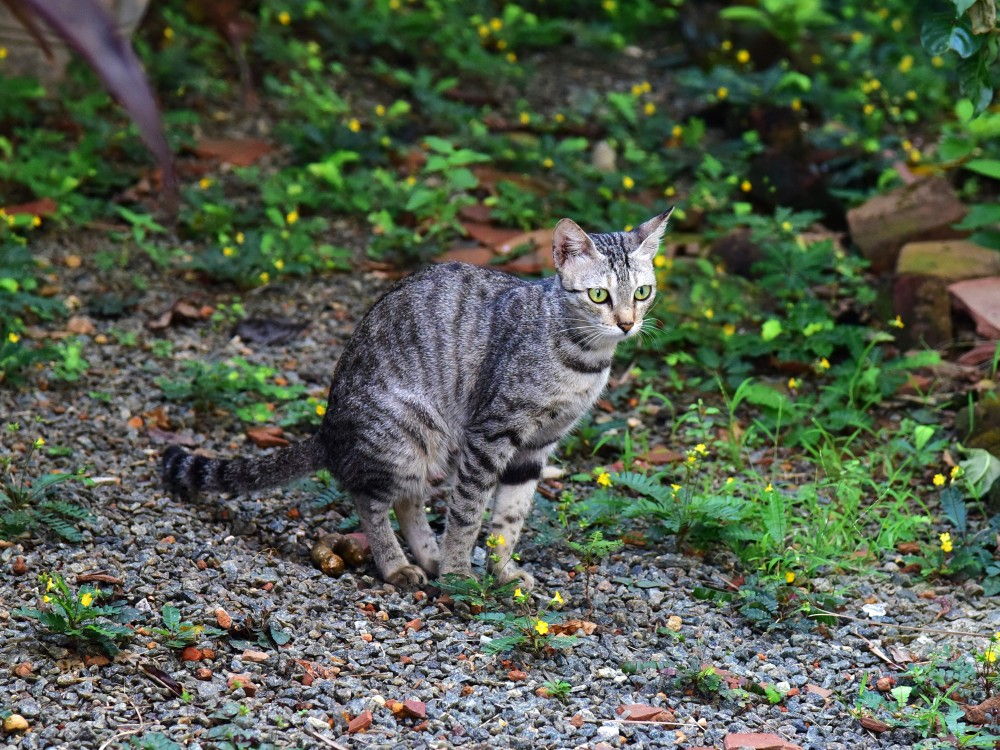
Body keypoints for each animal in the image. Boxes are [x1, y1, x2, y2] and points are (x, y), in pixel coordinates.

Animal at [162, 209, 672, 592]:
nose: (627, 323)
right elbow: (468, 513)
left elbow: (510, 517)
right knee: (370, 499)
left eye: (642, 292)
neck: (582, 359)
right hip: (403, 433)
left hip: (431, 445)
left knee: (408, 500)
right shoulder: (491, 434)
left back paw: (427, 556)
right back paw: (399, 565)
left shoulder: (536, 446)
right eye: (599, 295)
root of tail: (329, 429)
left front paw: (502, 571)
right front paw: (460, 573)